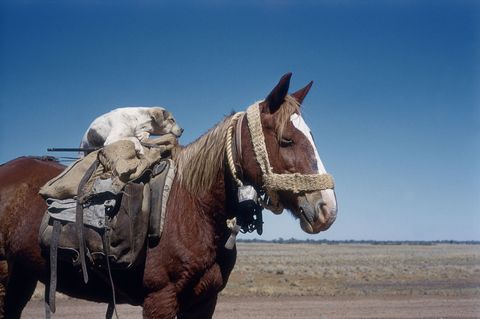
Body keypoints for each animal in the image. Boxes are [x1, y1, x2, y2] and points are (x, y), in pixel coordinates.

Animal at [0, 74, 338, 318]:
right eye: (286, 140)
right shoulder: (160, 300)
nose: (327, 209)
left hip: (22, 276)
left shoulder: (204, 302)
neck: (194, 208)